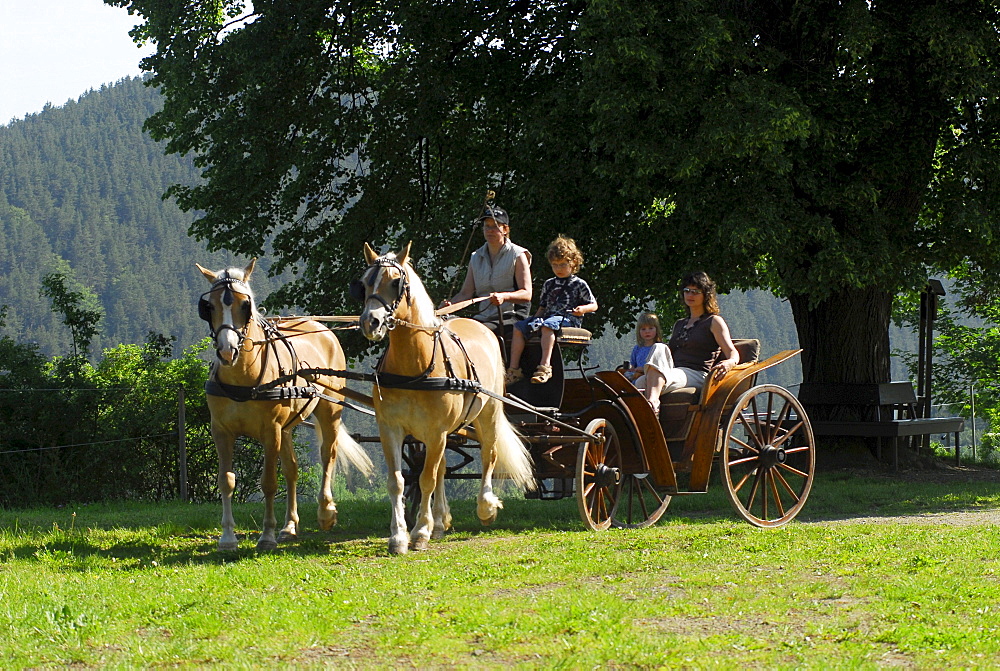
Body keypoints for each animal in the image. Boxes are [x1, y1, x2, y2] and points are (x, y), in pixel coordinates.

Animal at [194, 258, 372, 552]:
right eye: (209, 307)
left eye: (245, 305)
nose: (227, 350)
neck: (244, 376)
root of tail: (322, 329)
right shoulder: (221, 431)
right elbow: (226, 481)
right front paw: (228, 537)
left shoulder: (270, 431)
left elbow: (268, 482)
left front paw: (266, 536)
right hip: (287, 428)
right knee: (292, 470)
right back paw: (289, 527)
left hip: (328, 412)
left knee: (328, 455)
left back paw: (326, 513)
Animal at [356, 244, 536, 552]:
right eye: (366, 283)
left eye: (396, 282)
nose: (372, 322)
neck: (413, 364)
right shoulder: (390, 428)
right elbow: (398, 481)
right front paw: (399, 536)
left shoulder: (436, 430)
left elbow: (426, 479)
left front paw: (419, 533)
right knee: (441, 468)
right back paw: (439, 521)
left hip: (488, 413)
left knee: (488, 454)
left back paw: (485, 508)